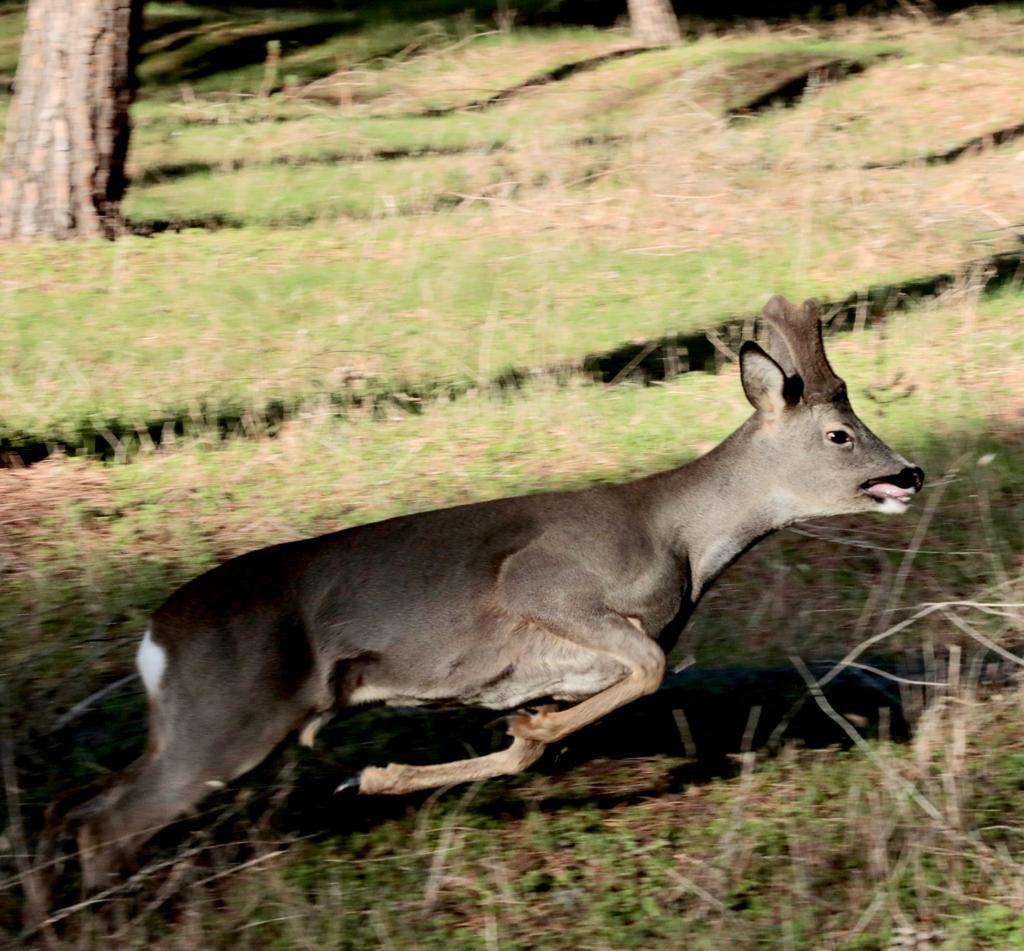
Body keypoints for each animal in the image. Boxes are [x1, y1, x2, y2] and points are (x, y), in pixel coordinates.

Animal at [44, 294, 925, 892]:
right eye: (841, 435)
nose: (910, 471)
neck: (683, 541)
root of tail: (155, 637)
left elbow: (565, 715)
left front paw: (406, 765)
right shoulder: (544, 581)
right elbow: (644, 668)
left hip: (191, 722)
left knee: (88, 803)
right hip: (228, 719)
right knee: (109, 820)